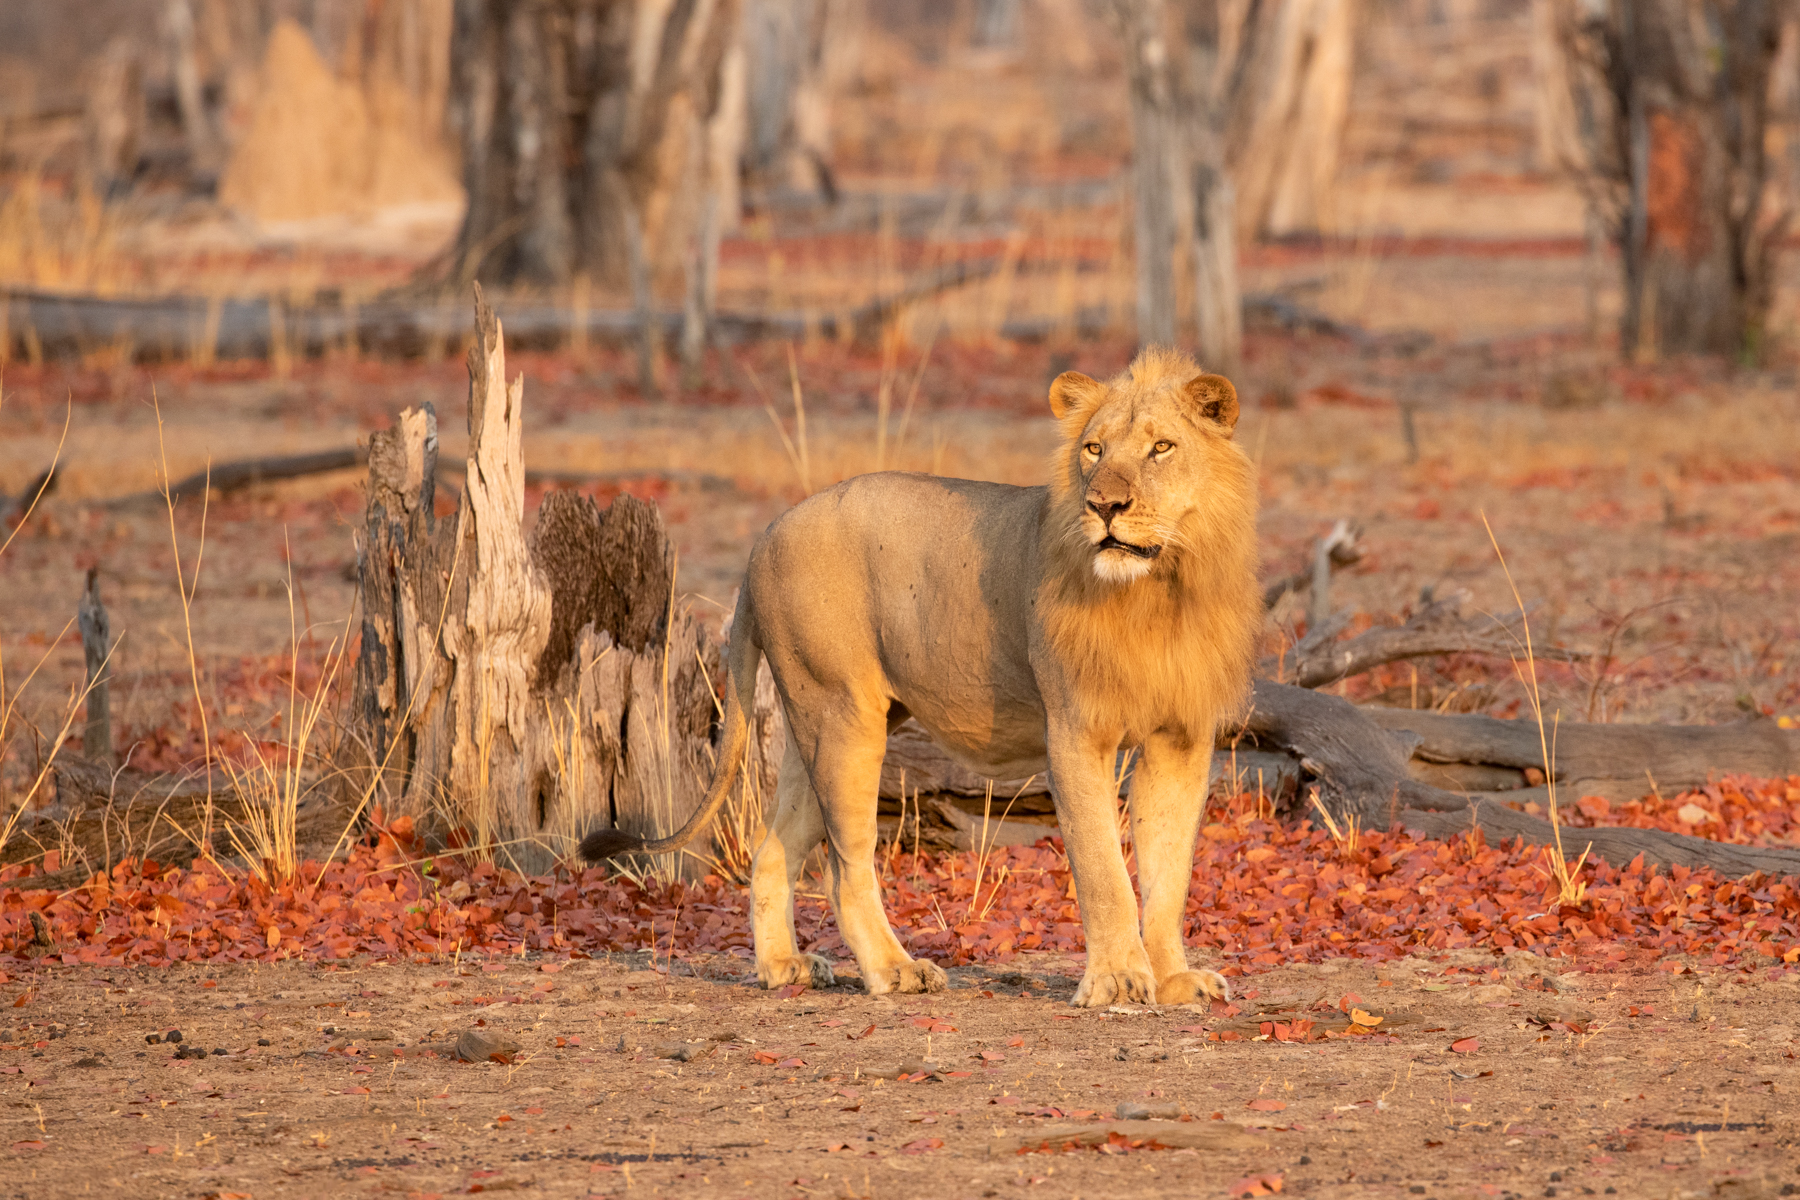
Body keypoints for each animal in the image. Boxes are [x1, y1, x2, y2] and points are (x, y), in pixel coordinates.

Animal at [581, 346, 1262, 1007]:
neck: (1162, 592)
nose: (1104, 506)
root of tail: (765, 536)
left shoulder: (1181, 740)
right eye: (1093, 450)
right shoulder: (1074, 731)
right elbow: (1103, 870)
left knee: (772, 847)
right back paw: (896, 969)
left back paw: (782, 967)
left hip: (815, 725)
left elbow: (1169, 872)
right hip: (846, 718)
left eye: (1162, 448)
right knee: (845, 868)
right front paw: (1119, 981)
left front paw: (1174, 979)